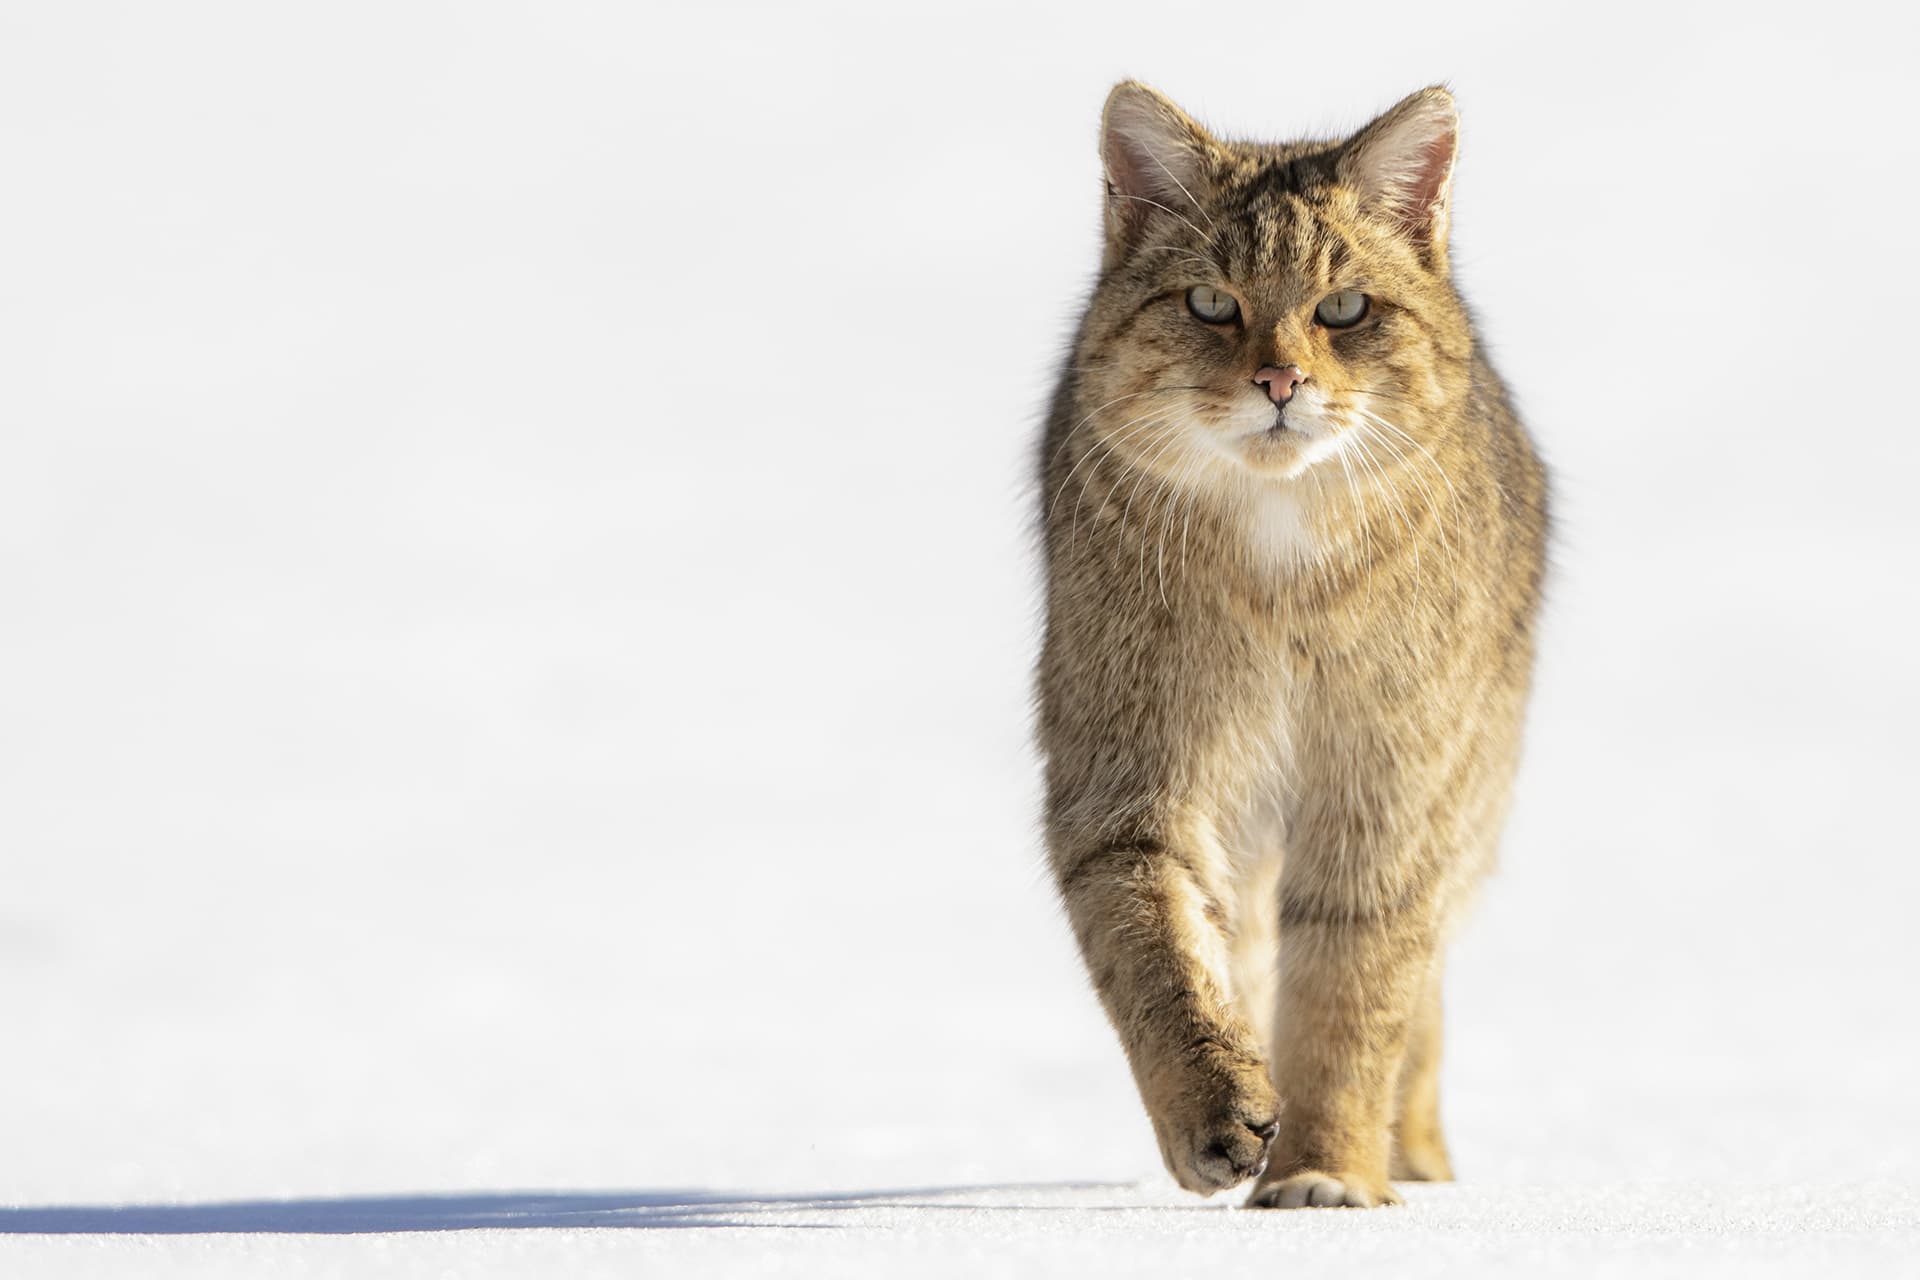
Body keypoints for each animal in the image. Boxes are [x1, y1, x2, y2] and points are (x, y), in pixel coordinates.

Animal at [1036, 82, 1543, 1212]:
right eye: (1209, 303)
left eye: (1343, 309)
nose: (1278, 381)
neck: (1278, 572)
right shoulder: (1129, 778)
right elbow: (1158, 957)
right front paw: (1217, 1110)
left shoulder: (1386, 795)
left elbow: (1352, 998)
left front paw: (1327, 1168)